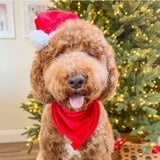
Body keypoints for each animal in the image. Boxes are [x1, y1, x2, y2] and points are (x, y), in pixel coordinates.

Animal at [29, 10, 119, 160]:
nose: (76, 80)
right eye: (59, 54)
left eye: (89, 53)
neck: (74, 118)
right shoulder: (49, 153)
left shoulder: (100, 153)